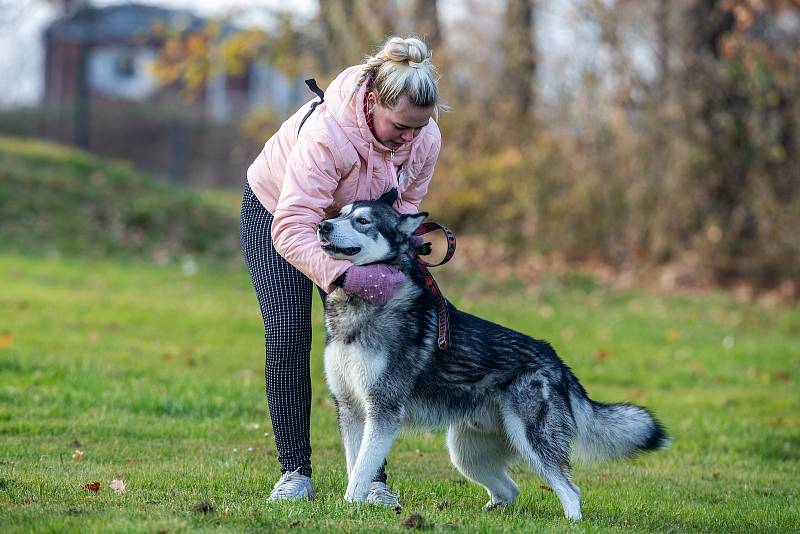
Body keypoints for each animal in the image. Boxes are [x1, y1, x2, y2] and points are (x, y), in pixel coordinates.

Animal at [318, 194, 668, 524]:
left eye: (363, 221)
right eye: (340, 213)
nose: (323, 225)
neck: (359, 309)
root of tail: (556, 362)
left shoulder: (383, 411)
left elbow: (362, 469)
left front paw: (350, 506)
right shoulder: (350, 408)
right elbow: (355, 464)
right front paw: (357, 503)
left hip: (532, 441)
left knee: (570, 489)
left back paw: (572, 521)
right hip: (466, 453)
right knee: (511, 489)